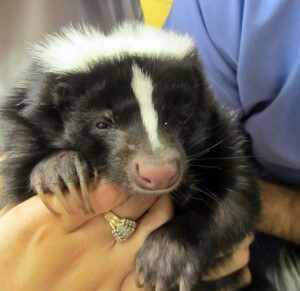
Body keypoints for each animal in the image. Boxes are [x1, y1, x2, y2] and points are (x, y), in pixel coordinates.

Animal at [0, 24, 260, 290]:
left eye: (181, 118)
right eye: (102, 123)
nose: (158, 172)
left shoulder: (220, 133)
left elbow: (233, 199)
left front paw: (166, 257)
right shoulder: (25, 128)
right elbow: (19, 185)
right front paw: (60, 170)